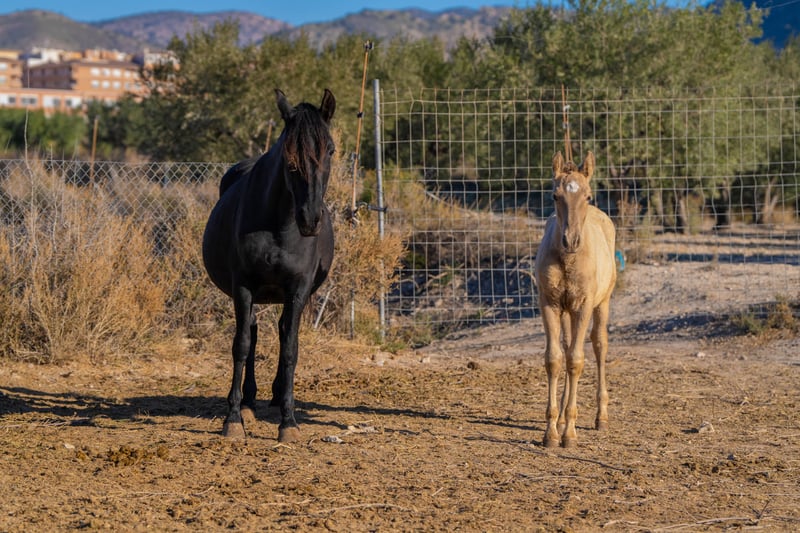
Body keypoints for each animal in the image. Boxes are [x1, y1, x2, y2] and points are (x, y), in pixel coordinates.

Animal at [202, 89, 336, 443]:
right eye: (288, 155)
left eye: (330, 149)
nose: (310, 219)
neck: (281, 227)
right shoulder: (244, 287)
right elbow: (241, 345)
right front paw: (233, 418)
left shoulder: (297, 290)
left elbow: (290, 348)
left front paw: (289, 422)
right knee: (253, 331)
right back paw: (248, 401)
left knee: (281, 331)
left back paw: (275, 398)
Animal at [533, 151, 617, 448]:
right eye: (554, 196)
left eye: (588, 196)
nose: (571, 241)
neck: (568, 259)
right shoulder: (549, 303)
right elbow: (555, 359)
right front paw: (551, 431)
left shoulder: (583, 306)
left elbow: (577, 361)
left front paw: (569, 433)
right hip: (567, 311)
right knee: (568, 348)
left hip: (602, 303)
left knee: (599, 346)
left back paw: (602, 417)